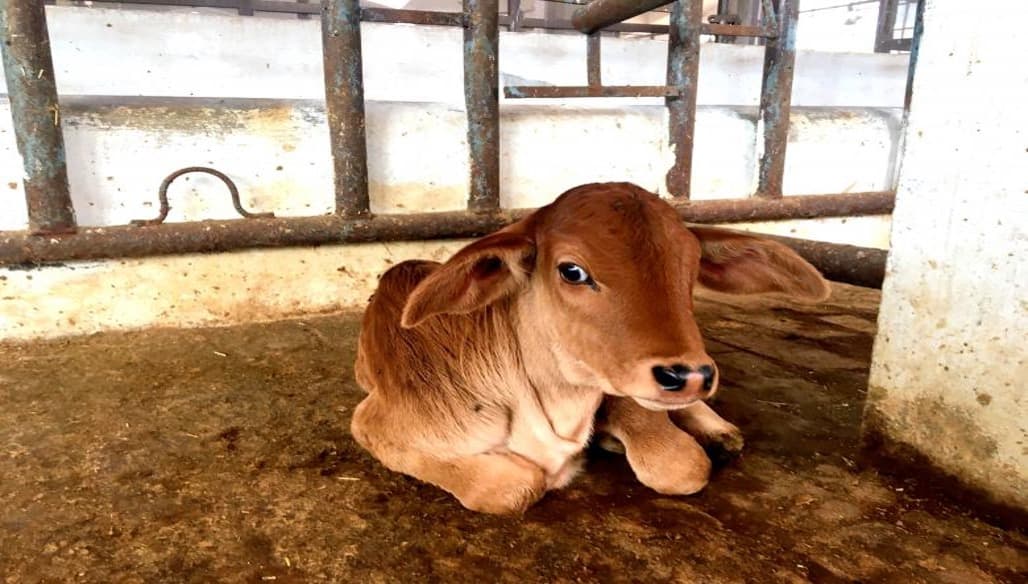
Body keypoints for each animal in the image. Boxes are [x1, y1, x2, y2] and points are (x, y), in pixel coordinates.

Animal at [351, 182, 830, 514]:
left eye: (691, 267)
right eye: (572, 271)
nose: (690, 375)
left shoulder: (621, 388)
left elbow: (681, 465)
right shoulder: (374, 423)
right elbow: (515, 486)